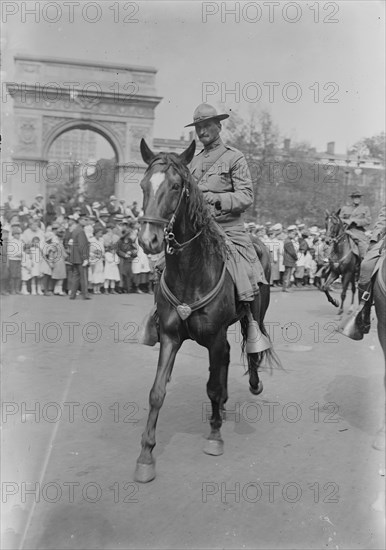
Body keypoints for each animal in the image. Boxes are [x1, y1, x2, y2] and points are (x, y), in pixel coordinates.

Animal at [134, 139, 276, 484]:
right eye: (143, 185)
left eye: (175, 186)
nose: (149, 240)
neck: (191, 273)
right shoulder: (170, 337)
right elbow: (157, 391)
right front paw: (146, 455)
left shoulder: (213, 337)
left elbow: (212, 386)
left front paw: (214, 436)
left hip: (255, 313)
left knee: (251, 348)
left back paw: (250, 386)